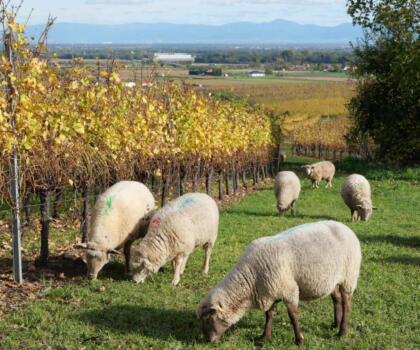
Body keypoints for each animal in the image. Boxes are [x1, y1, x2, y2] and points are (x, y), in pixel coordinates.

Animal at [197, 220, 360, 346]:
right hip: (334, 279)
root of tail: (346, 228)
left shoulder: (288, 290)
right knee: (337, 299)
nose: (208, 341)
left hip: (349, 277)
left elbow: (293, 317)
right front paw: (264, 337)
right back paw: (335, 324)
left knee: (347, 305)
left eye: (208, 319)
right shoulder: (269, 290)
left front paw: (299, 340)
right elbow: (269, 315)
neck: (251, 277)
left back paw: (342, 332)